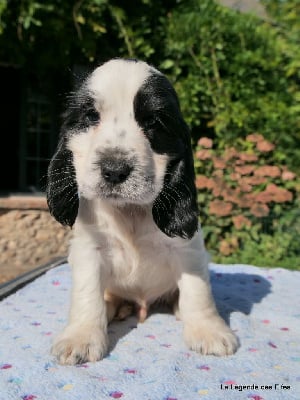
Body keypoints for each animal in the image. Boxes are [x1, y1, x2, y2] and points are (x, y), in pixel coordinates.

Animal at [46, 57, 239, 364]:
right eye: (91, 117)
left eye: (153, 122)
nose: (114, 170)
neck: (130, 211)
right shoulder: (88, 250)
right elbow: (87, 294)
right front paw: (81, 336)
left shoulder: (188, 250)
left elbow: (197, 291)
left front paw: (209, 330)